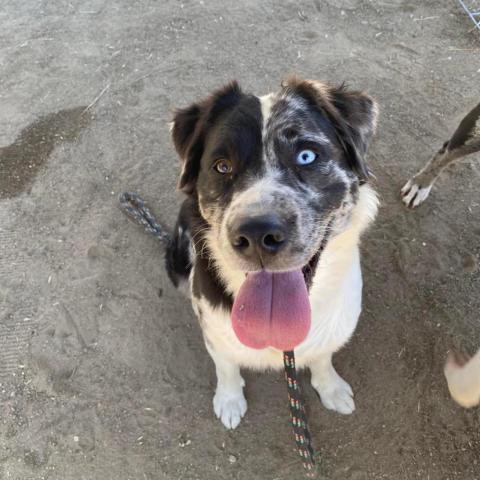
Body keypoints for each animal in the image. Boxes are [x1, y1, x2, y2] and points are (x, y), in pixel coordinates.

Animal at [165, 77, 378, 430]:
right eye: (221, 166)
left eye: (306, 155)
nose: (255, 233)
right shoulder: (213, 330)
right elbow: (225, 365)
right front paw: (229, 400)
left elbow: (323, 356)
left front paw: (331, 389)